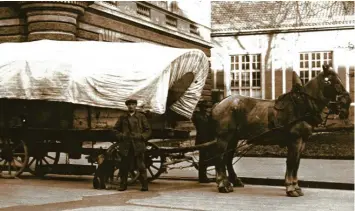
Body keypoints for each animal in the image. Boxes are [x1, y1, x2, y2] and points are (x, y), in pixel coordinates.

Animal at [210, 64, 352, 196]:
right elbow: (292, 163)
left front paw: (296, 186)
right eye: (333, 82)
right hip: (224, 137)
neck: (303, 106)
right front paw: (291, 188)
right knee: (220, 158)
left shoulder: (302, 142)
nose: (347, 103)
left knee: (228, 159)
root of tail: (220, 103)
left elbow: (296, 164)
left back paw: (234, 181)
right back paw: (223, 184)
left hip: (234, 138)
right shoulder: (295, 140)